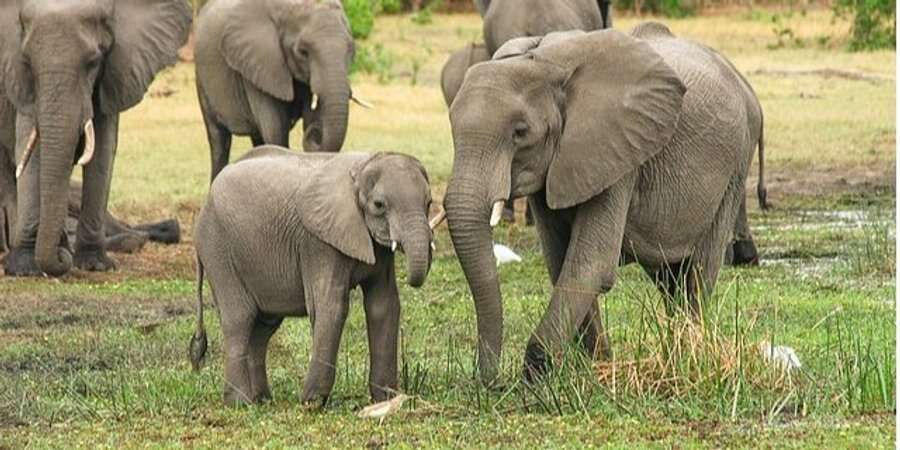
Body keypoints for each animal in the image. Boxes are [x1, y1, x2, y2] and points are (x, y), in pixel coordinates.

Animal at [0, 0, 192, 278]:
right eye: (27, 61)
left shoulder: (113, 73)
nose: (61, 259)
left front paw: (94, 265)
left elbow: (103, 150)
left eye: (93, 62)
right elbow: (29, 148)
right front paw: (24, 268)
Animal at [192, 146, 438, 406]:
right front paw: (312, 403)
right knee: (239, 319)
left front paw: (385, 399)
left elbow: (384, 305)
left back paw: (263, 400)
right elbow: (331, 305)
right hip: (217, 249)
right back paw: (240, 402)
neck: (362, 167)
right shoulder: (318, 242)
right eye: (379, 205)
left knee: (263, 326)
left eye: (429, 202)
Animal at [196, 0, 356, 179]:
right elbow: (275, 131)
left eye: (351, 50)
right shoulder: (259, 66)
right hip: (202, 81)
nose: (315, 133)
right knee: (219, 141)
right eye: (303, 52)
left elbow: (308, 119)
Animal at [442, 24, 768, 384]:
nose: (491, 382)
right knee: (669, 276)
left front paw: (537, 376)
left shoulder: (618, 154)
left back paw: (689, 356)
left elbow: (590, 263)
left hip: (735, 164)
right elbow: (561, 261)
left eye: (520, 132)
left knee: (698, 271)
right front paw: (596, 366)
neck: (544, 63)